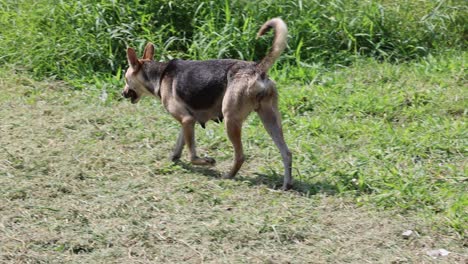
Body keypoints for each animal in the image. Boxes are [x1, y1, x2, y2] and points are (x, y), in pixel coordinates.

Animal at [124, 17, 292, 190]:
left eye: (126, 79)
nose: (123, 93)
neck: (160, 74)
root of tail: (257, 68)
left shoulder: (187, 120)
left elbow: (192, 155)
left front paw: (206, 161)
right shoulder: (187, 121)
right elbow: (180, 144)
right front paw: (173, 158)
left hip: (231, 120)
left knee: (240, 156)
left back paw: (229, 175)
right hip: (270, 120)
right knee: (286, 153)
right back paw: (287, 184)